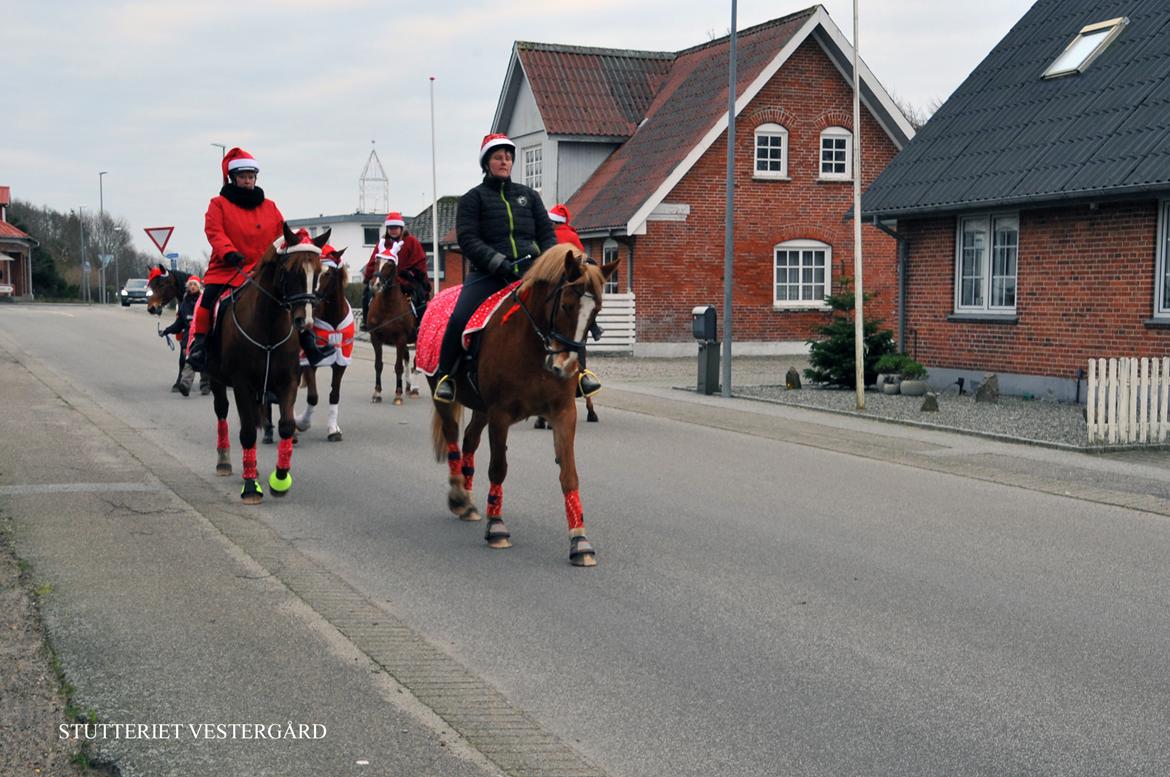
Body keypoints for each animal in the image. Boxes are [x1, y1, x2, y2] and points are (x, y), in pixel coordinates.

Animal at [208, 224, 329, 503]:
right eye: (291, 271)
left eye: (318, 272)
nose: (305, 321)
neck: (268, 326)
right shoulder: (241, 383)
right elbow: (247, 432)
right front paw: (251, 486)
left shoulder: (288, 380)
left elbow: (286, 425)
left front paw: (280, 479)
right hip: (218, 379)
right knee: (222, 412)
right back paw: (225, 461)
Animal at [294, 250, 348, 439]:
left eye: (328, 273)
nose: (314, 299)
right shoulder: (307, 362)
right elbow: (313, 396)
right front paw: (302, 423)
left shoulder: (341, 361)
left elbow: (335, 394)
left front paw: (333, 429)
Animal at [369, 259, 421, 407]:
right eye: (376, 260)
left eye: (390, 264)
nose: (375, 284)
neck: (387, 306)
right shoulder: (375, 338)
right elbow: (378, 365)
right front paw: (377, 393)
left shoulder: (400, 338)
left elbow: (398, 367)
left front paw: (398, 395)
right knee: (407, 358)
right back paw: (408, 386)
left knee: (415, 362)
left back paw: (414, 389)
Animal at [425, 243, 617, 564]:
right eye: (565, 305)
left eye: (597, 311)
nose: (565, 366)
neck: (534, 347)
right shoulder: (500, 414)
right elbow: (498, 468)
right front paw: (497, 528)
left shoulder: (564, 413)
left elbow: (569, 474)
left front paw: (579, 541)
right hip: (444, 397)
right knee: (453, 437)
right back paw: (459, 496)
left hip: (481, 408)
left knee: (469, 441)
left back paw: (469, 499)